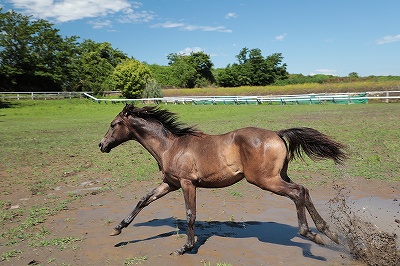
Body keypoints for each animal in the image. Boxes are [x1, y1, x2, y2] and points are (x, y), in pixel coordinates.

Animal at [97, 103, 346, 256]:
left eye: (112, 124)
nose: (101, 145)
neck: (170, 147)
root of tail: (277, 134)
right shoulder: (170, 184)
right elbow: (144, 200)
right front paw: (117, 229)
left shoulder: (187, 183)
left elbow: (190, 214)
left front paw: (186, 247)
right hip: (279, 176)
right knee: (304, 190)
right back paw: (329, 232)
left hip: (265, 180)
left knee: (298, 192)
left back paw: (311, 235)